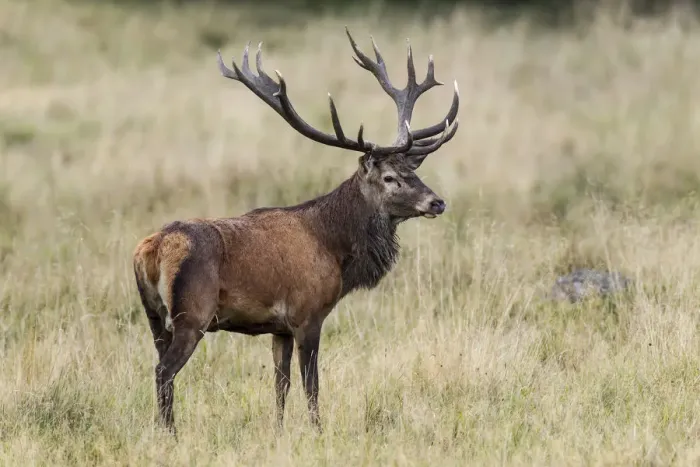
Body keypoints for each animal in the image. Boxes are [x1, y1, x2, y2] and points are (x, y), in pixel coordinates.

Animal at [132, 27, 459, 436]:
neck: (335, 248)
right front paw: (318, 431)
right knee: (164, 371)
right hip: (192, 314)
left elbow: (281, 385)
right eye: (389, 177)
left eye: (413, 171)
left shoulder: (279, 328)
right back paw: (171, 434)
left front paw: (278, 431)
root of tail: (151, 250)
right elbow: (311, 385)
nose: (437, 202)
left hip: (153, 316)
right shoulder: (309, 313)